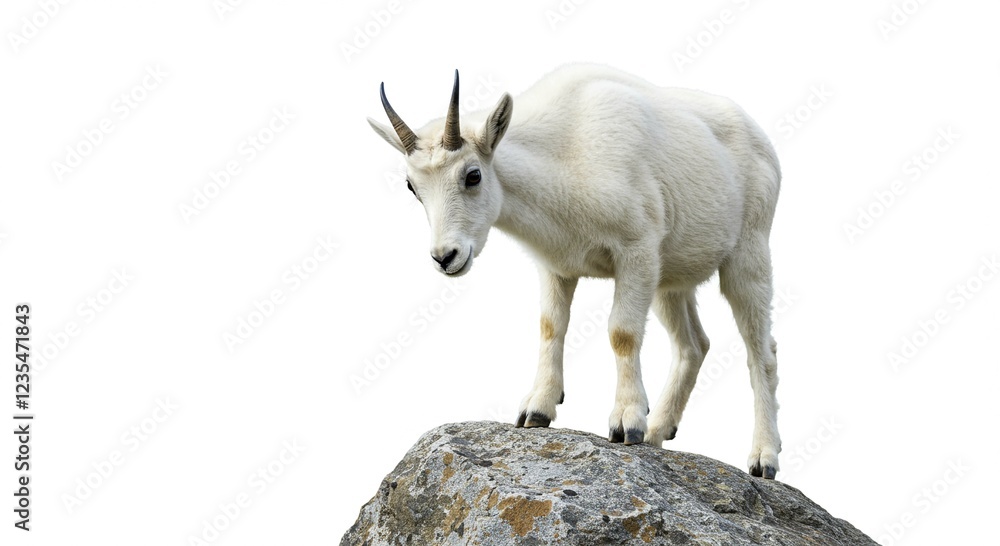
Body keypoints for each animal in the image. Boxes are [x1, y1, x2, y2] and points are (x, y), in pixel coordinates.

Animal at [368, 64, 783, 479]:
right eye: (412, 187)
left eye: (473, 175)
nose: (446, 256)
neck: (566, 152)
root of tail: (764, 142)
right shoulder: (556, 266)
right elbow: (551, 327)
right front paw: (536, 410)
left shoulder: (637, 250)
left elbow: (622, 333)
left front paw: (627, 423)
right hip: (671, 280)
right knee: (694, 345)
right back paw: (658, 432)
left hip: (748, 254)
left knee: (760, 352)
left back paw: (763, 458)